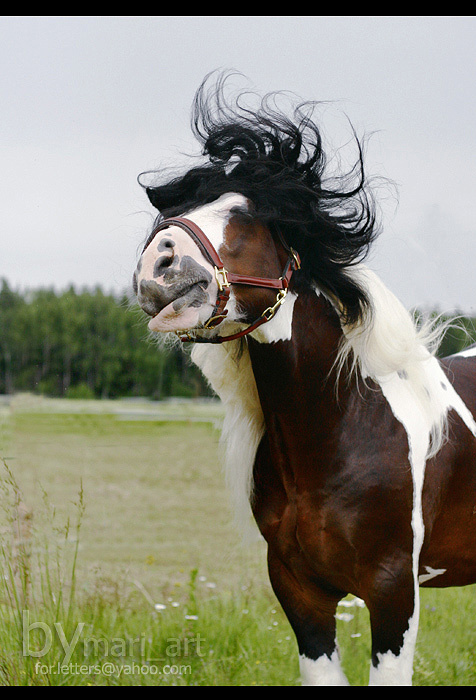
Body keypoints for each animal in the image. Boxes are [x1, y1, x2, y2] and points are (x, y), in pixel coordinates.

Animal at [133, 74, 476, 686]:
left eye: (245, 215)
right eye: (177, 209)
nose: (157, 267)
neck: (342, 431)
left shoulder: (394, 593)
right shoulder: (300, 592)